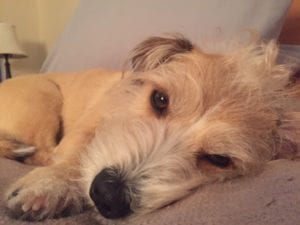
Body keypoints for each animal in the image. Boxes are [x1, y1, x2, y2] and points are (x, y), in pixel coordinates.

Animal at [0, 35, 298, 221]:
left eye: (219, 159)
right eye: (159, 99)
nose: (107, 195)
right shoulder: (81, 131)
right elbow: (76, 151)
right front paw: (51, 184)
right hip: (45, 94)